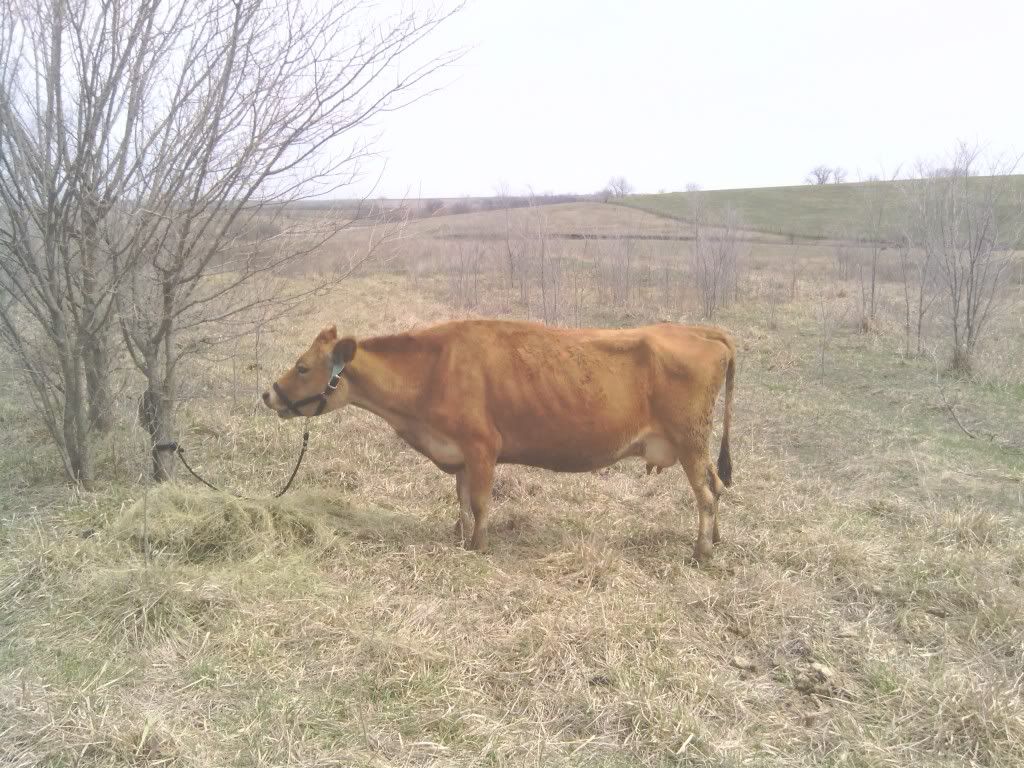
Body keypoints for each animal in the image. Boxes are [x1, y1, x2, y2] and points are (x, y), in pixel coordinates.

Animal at [263, 320, 736, 562]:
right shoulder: (458, 452)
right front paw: (460, 537)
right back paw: (716, 540)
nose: (269, 394)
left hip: (690, 441)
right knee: (716, 486)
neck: (434, 368)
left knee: (705, 495)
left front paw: (479, 546)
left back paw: (701, 551)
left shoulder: (482, 446)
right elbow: (459, 498)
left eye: (302, 367)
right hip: (696, 446)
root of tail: (700, 330)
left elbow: (479, 502)